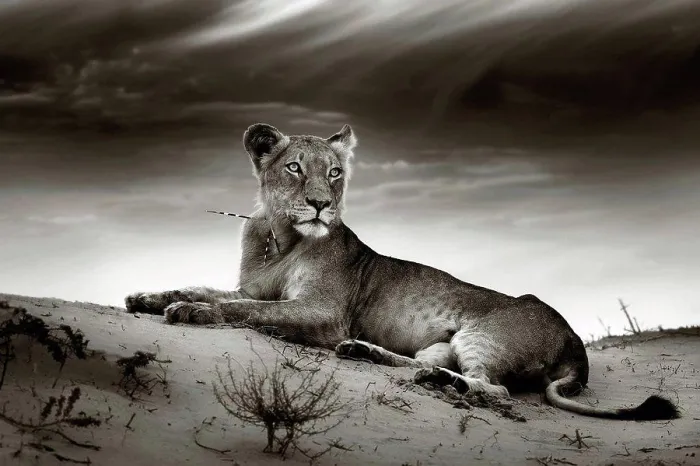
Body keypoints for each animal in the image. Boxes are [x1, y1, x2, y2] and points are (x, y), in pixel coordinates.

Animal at [126, 123, 678, 421]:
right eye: (294, 168)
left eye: (334, 172)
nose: (322, 205)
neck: (278, 237)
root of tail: (576, 343)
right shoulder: (253, 285)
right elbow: (215, 290)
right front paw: (148, 298)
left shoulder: (323, 312)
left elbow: (246, 309)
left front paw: (193, 312)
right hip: (443, 341)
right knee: (422, 364)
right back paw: (370, 355)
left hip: (483, 334)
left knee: (492, 388)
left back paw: (440, 383)